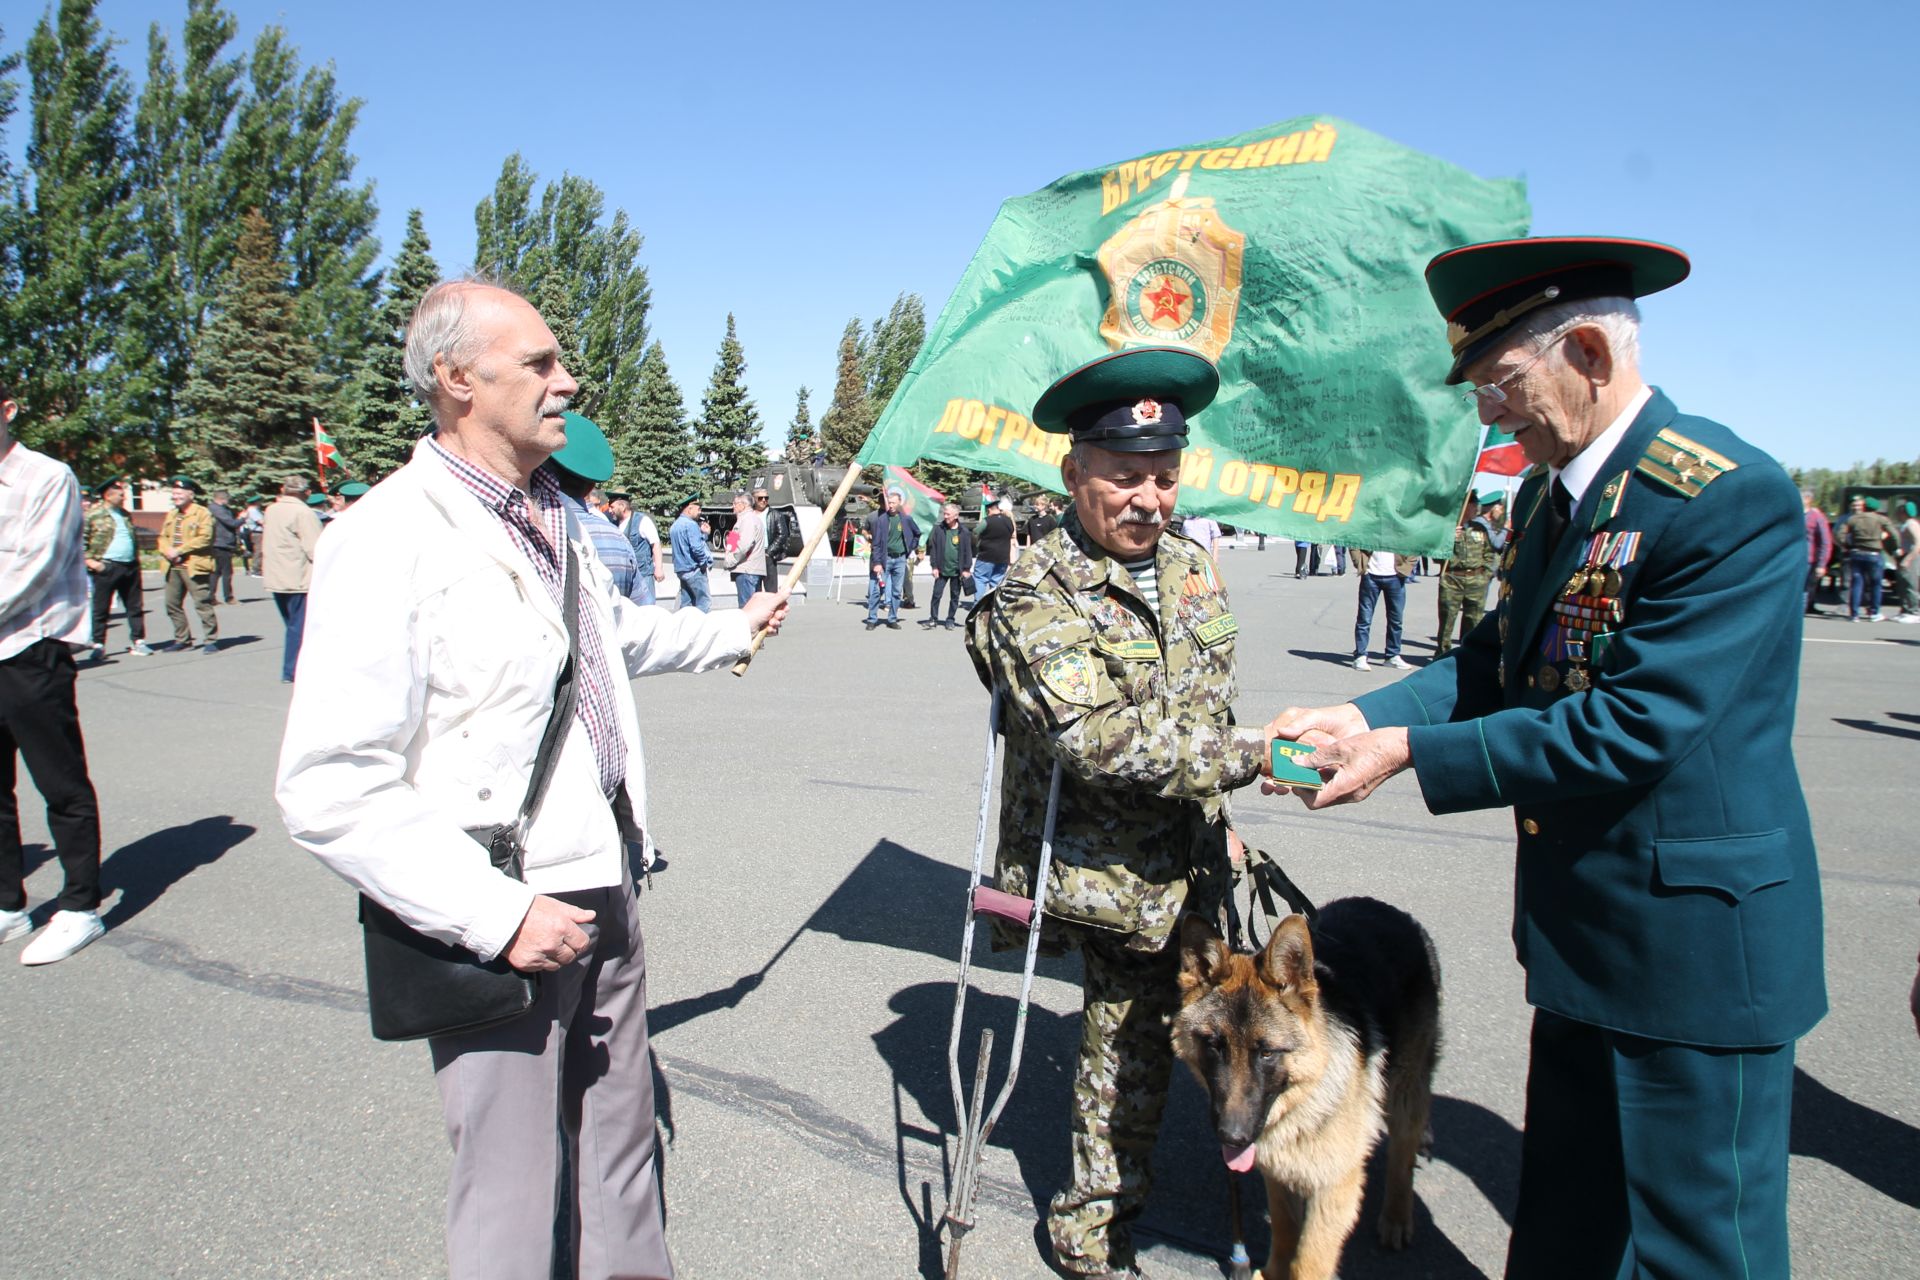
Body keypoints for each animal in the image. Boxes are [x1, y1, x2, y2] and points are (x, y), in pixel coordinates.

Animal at [1167, 901, 1443, 1280]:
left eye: (1266, 1052)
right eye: (1214, 1046)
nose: (1232, 1137)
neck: (1304, 1098)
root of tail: (1386, 909)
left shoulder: (1334, 1191)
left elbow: (1307, 1263)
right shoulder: (1278, 1173)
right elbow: (1284, 1231)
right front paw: (1271, 1273)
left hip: (1404, 1091)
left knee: (1404, 1148)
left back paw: (1397, 1216)